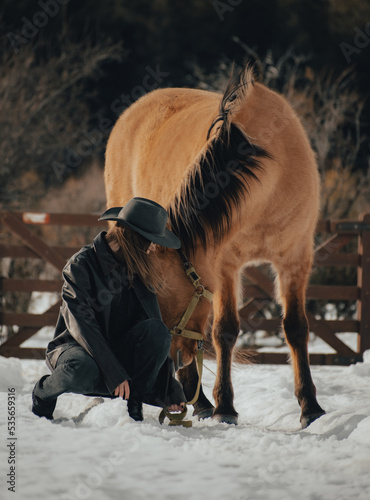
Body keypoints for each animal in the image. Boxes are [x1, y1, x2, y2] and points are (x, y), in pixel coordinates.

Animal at [102, 64, 326, 428]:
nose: (165, 354)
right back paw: (201, 401)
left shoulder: (295, 259)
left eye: (159, 294)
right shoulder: (224, 266)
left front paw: (311, 408)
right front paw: (224, 407)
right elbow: (225, 331)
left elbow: (295, 327)